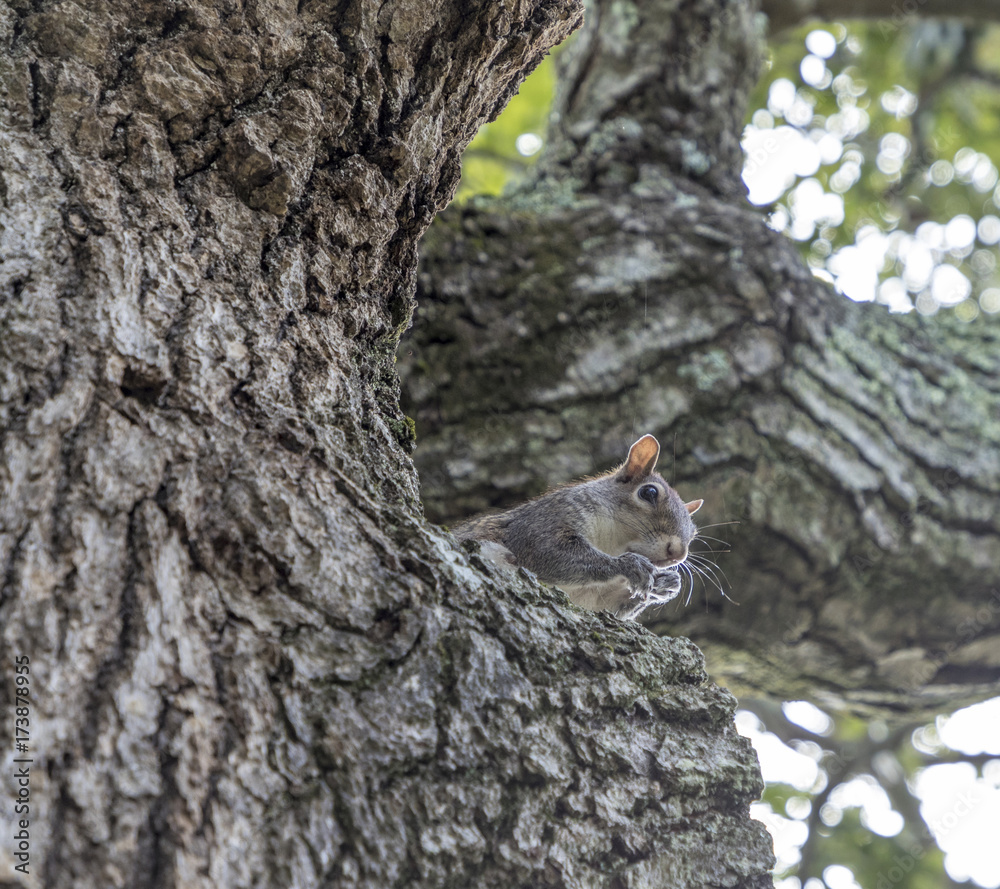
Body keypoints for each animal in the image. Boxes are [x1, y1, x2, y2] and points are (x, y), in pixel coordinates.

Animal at [453, 434, 703, 620]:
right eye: (649, 492)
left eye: (693, 532)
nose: (678, 554)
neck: (613, 543)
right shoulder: (545, 521)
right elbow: (550, 551)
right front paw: (628, 565)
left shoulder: (596, 599)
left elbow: (613, 608)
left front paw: (666, 583)